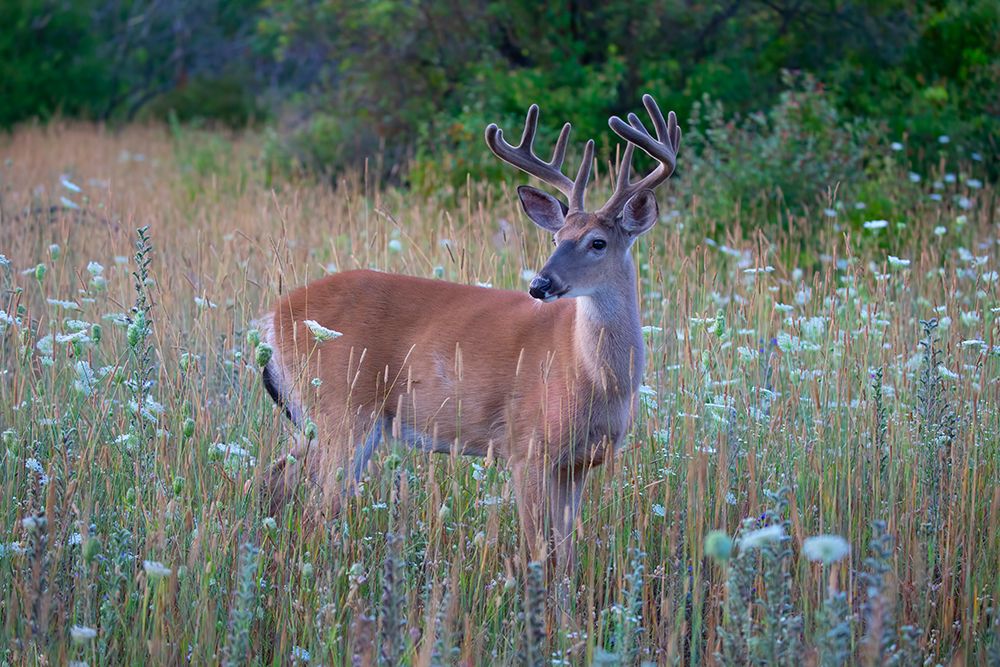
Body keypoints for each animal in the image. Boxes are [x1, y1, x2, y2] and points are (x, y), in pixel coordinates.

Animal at [254, 95, 684, 580]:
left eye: (597, 242)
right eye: (556, 236)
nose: (540, 284)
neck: (593, 378)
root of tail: (273, 317)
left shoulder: (578, 463)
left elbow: (567, 555)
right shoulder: (527, 445)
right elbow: (541, 552)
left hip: (316, 418)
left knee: (275, 481)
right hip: (342, 409)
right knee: (316, 507)